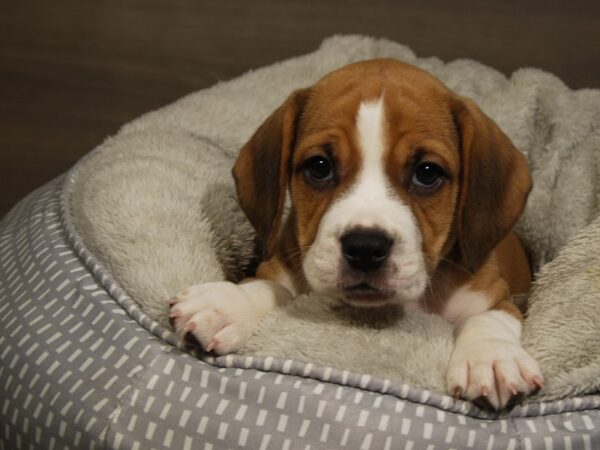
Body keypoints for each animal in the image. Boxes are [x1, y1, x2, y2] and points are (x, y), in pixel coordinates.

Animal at [170, 59, 544, 412]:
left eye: (427, 173)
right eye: (319, 167)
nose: (365, 248)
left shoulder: (499, 297)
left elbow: (489, 318)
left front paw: (492, 358)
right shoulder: (283, 270)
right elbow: (271, 288)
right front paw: (227, 303)